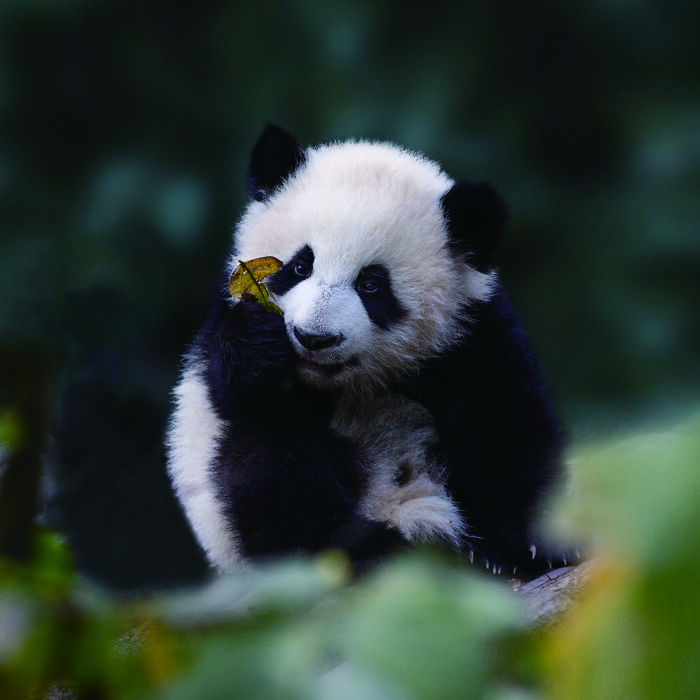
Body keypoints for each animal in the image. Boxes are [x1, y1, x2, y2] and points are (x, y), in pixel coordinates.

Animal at [166, 124, 574, 578]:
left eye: (372, 285)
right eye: (300, 266)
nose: (313, 338)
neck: (350, 381)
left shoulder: (470, 331)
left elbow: (504, 424)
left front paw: (537, 543)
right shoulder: (223, 323)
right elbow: (238, 390)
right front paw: (259, 344)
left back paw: (472, 553)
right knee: (268, 464)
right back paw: (369, 551)